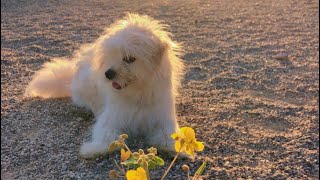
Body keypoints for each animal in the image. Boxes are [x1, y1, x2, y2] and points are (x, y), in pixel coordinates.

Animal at [25, 13, 184, 158]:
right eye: (111, 55)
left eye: (129, 59)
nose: (108, 73)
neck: (138, 94)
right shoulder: (112, 117)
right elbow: (105, 135)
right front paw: (94, 149)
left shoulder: (163, 119)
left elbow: (170, 135)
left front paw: (176, 149)